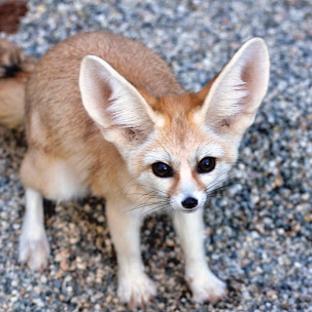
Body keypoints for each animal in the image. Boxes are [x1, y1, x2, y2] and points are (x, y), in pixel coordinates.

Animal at [0, 32, 268, 308]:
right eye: (161, 168)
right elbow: (129, 251)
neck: (153, 196)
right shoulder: (120, 209)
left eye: (206, 164)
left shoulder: (190, 203)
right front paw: (135, 286)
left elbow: (194, 246)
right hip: (62, 183)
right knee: (27, 178)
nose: (189, 202)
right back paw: (33, 239)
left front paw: (203, 282)